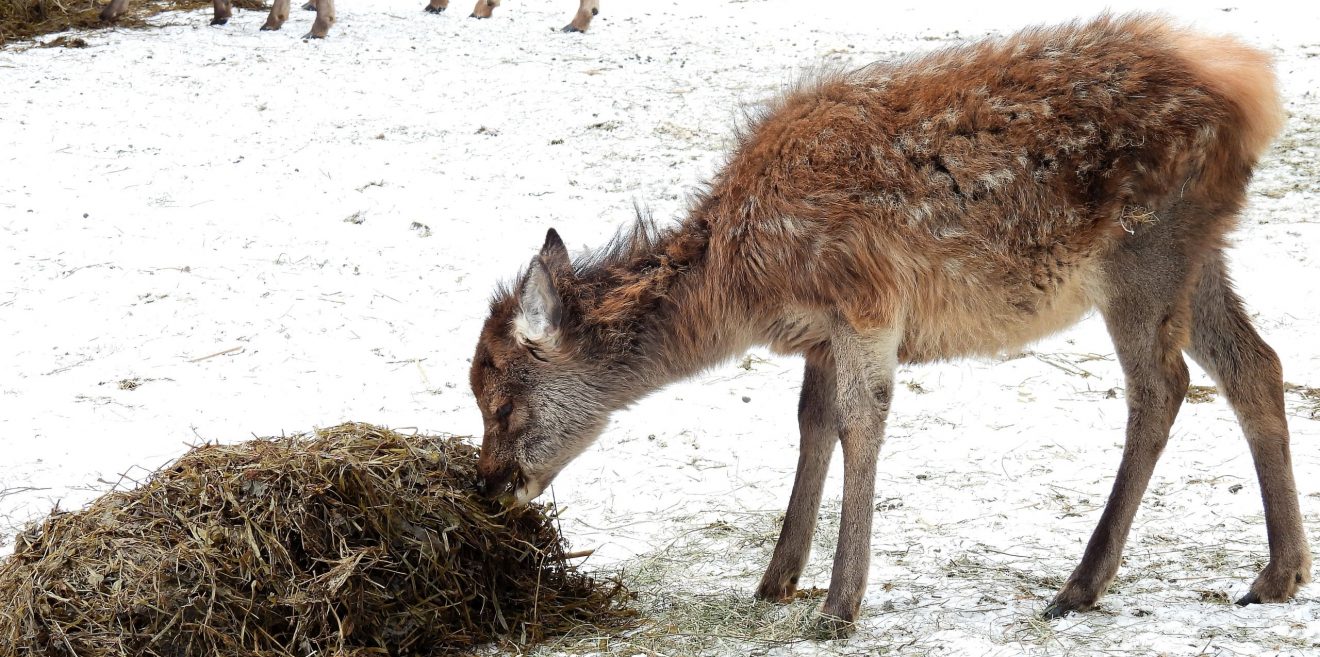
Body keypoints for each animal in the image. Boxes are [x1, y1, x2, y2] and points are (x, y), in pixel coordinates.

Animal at [467, 12, 1309, 633]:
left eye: (503, 401)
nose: (489, 485)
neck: (742, 286)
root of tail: (1257, 94)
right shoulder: (820, 330)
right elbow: (811, 420)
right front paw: (776, 578)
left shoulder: (863, 298)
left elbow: (859, 419)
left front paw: (841, 604)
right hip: (1200, 250)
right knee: (1256, 363)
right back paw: (1279, 572)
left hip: (1143, 251)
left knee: (1162, 386)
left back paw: (1081, 584)